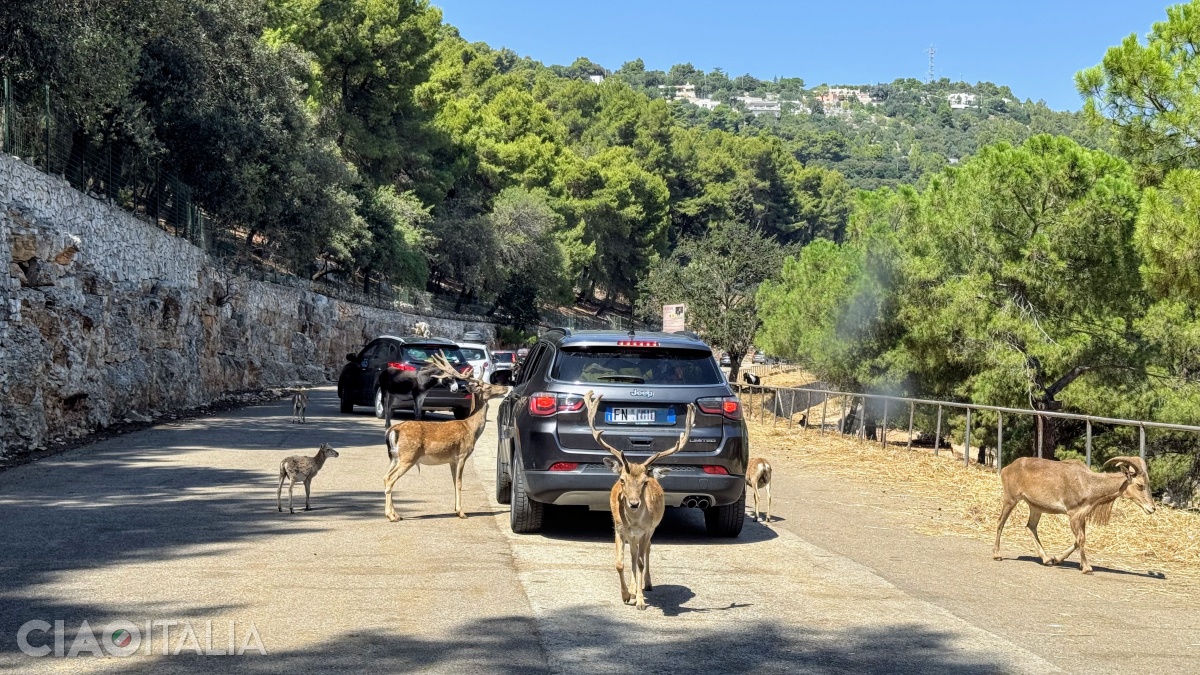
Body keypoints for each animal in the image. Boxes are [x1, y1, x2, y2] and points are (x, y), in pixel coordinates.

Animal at [384, 353, 506, 521]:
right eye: (488, 387)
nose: (506, 387)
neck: (470, 428)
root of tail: (394, 429)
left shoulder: (451, 461)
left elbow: (454, 483)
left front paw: (456, 510)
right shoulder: (461, 455)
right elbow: (460, 483)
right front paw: (462, 513)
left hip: (394, 457)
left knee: (385, 477)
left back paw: (395, 514)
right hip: (408, 456)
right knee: (390, 479)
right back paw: (391, 516)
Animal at [580, 386, 696, 607]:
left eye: (644, 482)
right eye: (622, 480)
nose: (634, 504)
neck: (633, 522)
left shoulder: (645, 530)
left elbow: (641, 562)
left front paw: (641, 601)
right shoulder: (619, 529)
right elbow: (620, 563)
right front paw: (626, 595)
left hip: (650, 530)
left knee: (644, 553)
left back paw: (645, 585)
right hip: (630, 535)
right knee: (634, 556)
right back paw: (634, 589)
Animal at [988, 454, 1156, 569]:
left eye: (1148, 483)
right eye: (1140, 485)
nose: (1152, 508)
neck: (1089, 484)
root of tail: (1007, 468)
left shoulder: (1081, 516)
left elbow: (1079, 539)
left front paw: (1057, 559)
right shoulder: (1073, 513)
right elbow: (1080, 539)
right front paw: (1087, 567)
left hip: (1035, 507)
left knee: (1030, 527)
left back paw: (1046, 559)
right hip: (1010, 499)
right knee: (1000, 522)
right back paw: (997, 554)